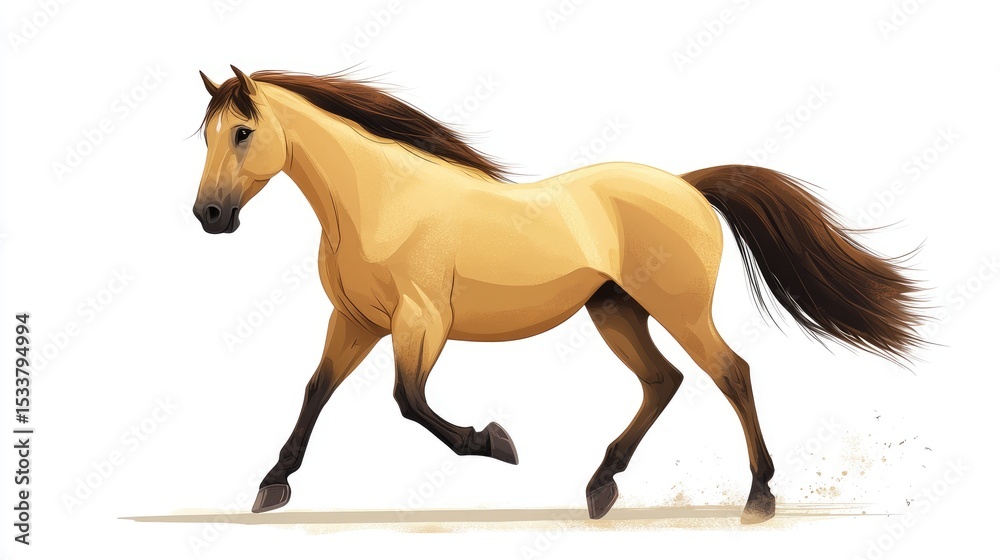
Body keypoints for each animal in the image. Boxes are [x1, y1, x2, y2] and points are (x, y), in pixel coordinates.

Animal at [191, 66, 924, 523]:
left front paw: (495, 442)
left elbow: (410, 401)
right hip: (616, 311)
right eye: (206, 133)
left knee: (731, 372)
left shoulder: (420, 321)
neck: (378, 201)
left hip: (678, 308)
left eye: (244, 132)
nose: (209, 216)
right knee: (663, 380)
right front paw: (272, 485)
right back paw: (602, 486)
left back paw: (759, 497)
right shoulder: (355, 320)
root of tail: (688, 185)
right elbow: (316, 390)